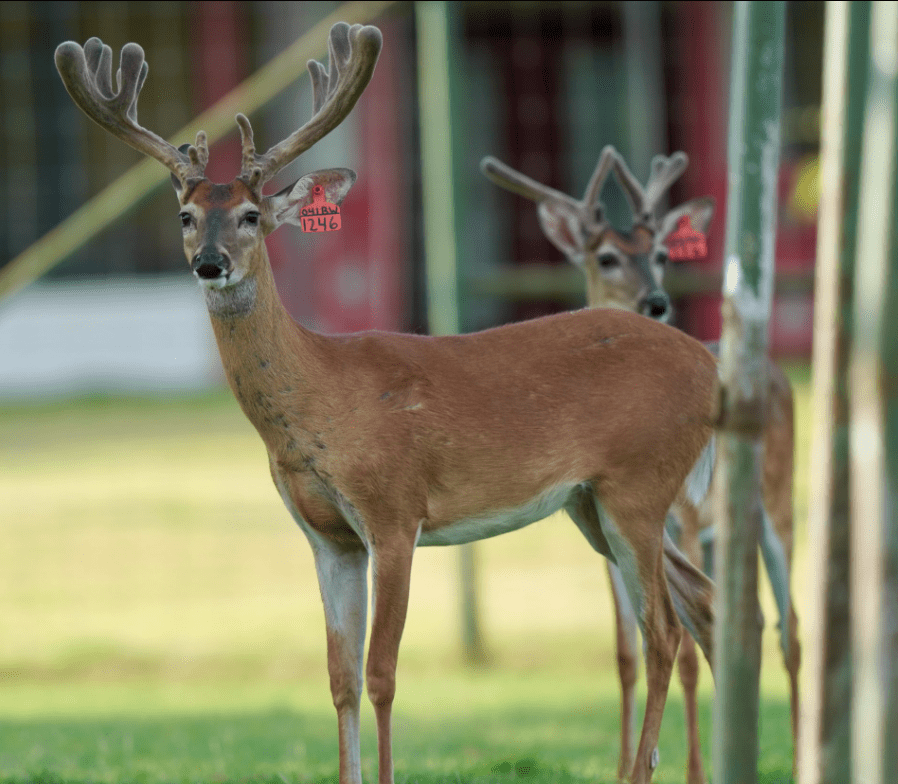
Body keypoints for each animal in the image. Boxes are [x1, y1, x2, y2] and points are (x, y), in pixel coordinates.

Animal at [56, 26, 721, 784]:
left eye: (252, 215)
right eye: (186, 215)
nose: (210, 263)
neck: (318, 399)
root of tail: (710, 364)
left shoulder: (394, 510)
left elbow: (381, 674)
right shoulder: (325, 535)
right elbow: (339, 677)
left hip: (639, 482)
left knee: (663, 629)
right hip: (592, 502)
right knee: (700, 601)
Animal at [481, 147, 800, 784]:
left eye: (661, 254)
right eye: (605, 256)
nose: (655, 301)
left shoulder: (686, 516)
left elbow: (685, 654)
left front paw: (694, 771)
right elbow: (626, 654)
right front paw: (624, 762)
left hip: (774, 502)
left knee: (791, 628)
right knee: (752, 619)